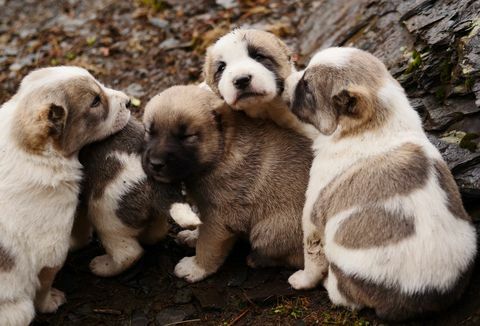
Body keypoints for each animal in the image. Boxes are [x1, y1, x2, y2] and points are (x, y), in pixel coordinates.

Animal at [0, 65, 131, 324]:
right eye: (95, 101)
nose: (129, 101)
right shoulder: (51, 250)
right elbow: (42, 286)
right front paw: (51, 302)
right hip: (19, 311)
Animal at [141, 85, 312, 282]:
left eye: (187, 136)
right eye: (149, 132)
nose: (155, 163)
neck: (223, 150)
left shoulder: (219, 217)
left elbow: (207, 244)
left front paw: (196, 267)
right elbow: (201, 228)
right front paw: (192, 236)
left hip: (267, 230)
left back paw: (257, 259)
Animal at [284, 48, 476, 320]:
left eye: (307, 86)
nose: (284, 82)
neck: (377, 124)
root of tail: (415, 297)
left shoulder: (313, 218)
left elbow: (311, 256)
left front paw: (302, 280)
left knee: (344, 296)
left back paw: (329, 284)